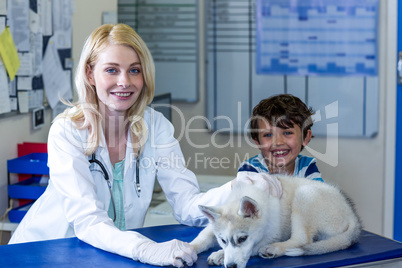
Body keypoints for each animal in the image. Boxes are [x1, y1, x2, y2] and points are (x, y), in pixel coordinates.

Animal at [190, 173, 362, 266]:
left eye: (242, 239)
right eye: (223, 240)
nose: (231, 266)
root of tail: (352, 216)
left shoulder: (271, 234)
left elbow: (252, 247)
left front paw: (220, 254)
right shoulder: (212, 226)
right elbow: (203, 237)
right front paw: (188, 248)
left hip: (304, 194)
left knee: (302, 239)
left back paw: (274, 249)